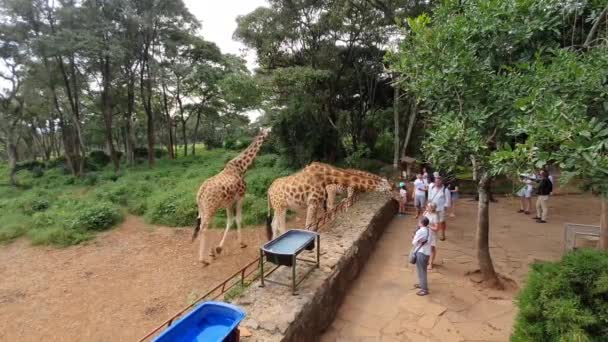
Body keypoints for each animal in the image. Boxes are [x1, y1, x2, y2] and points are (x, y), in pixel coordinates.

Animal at [192, 127, 270, 264]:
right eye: (269, 131)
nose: (270, 136)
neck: (241, 167)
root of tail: (200, 194)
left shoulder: (229, 202)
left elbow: (229, 221)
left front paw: (219, 248)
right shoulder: (240, 197)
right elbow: (238, 219)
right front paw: (242, 243)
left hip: (203, 208)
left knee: (203, 226)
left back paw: (211, 253)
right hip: (211, 207)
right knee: (204, 227)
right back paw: (204, 260)